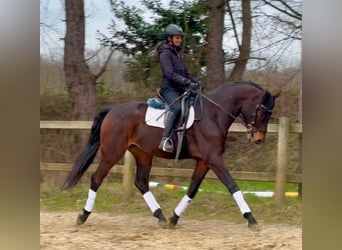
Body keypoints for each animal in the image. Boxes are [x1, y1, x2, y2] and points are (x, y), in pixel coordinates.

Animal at [62, 81, 280, 229]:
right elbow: (233, 186)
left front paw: (174, 219)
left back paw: (161, 217)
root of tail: (113, 109)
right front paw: (251, 219)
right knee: (96, 178)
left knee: (141, 182)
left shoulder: (204, 161)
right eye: (262, 113)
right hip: (112, 153)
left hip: (143, 154)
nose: (259, 139)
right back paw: (83, 216)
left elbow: (192, 189)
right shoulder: (214, 159)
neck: (213, 114)